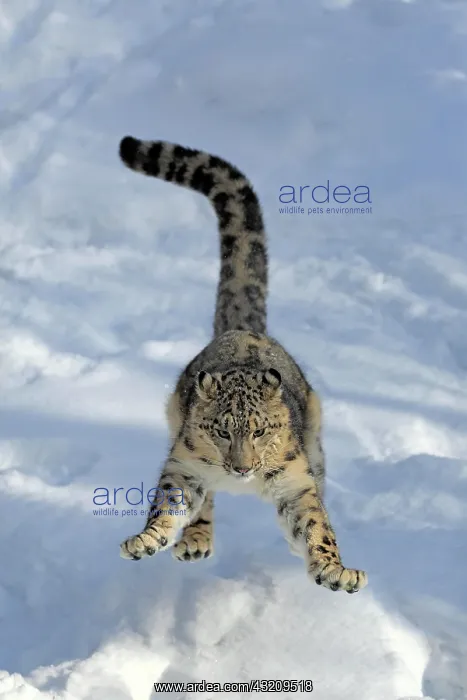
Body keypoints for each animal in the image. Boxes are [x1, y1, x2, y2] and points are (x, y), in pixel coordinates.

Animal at [118, 134, 368, 594]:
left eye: (261, 431)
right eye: (221, 430)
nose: (242, 467)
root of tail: (242, 329)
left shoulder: (296, 481)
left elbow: (315, 524)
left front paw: (333, 570)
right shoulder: (183, 467)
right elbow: (167, 505)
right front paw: (146, 540)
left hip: (316, 449)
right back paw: (195, 539)